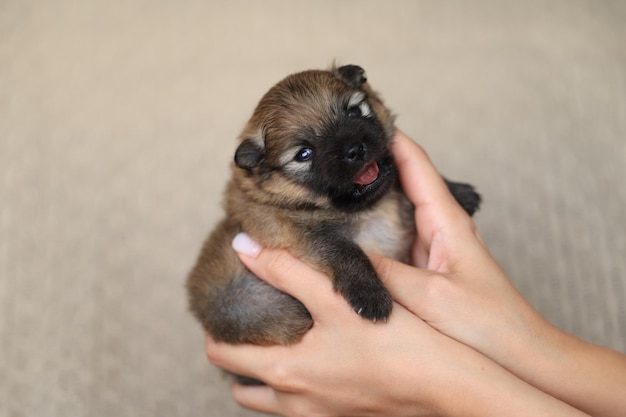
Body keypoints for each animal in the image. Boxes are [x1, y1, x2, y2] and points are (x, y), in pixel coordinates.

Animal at [185, 65, 478, 370]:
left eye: (354, 111)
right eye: (304, 154)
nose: (355, 150)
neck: (366, 208)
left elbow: (399, 185)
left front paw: (457, 191)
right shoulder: (304, 234)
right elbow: (346, 252)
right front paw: (370, 295)